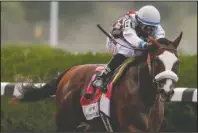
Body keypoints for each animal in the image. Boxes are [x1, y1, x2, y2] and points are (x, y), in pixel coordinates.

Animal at [9, 32, 183, 132]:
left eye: (177, 62)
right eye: (158, 61)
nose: (167, 90)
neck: (145, 96)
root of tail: (70, 71)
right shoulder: (131, 127)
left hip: (92, 126)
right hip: (65, 122)